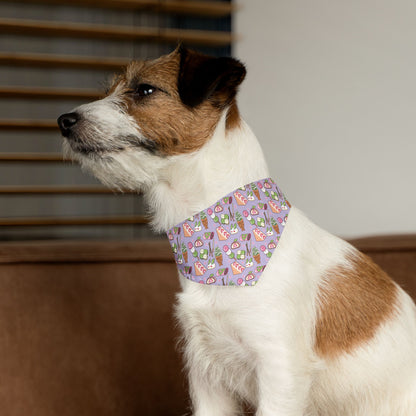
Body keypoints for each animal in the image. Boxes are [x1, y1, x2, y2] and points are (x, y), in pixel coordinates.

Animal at [57, 47, 416, 414]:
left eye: (144, 89)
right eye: (110, 90)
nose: (64, 121)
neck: (219, 241)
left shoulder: (280, 372)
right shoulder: (207, 376)